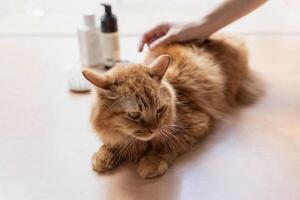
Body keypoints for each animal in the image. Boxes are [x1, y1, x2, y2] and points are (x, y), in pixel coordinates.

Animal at [82, 34, 262, 178]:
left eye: (160, 110)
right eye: (134, 115)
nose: (154, 129)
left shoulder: (196, 123)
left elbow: (166, 145)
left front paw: (152, 162)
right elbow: (113, 144)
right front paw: (103, 155)